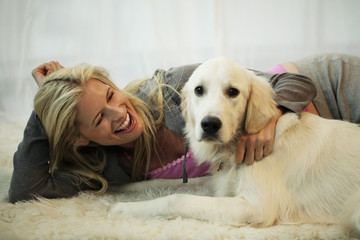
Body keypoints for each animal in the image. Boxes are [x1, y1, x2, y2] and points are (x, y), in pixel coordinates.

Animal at [109, 57, 360, 236]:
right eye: (199, 90)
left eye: (233, 91)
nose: (210, 124)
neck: (235, 146)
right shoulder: (219, 182)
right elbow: (169, 184)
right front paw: (123, 188)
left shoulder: (256, 207)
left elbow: (177, 198)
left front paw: (125, 209)